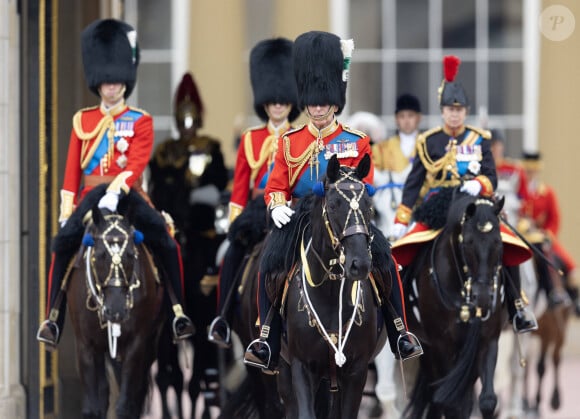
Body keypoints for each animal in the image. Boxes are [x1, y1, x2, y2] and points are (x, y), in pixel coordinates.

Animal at [67, 208, 164, 419]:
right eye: (101, 254)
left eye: (130, 254)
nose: (117, 311)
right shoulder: (85, 345)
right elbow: (92, 407)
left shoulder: (137, 343)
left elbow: (125, 405)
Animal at [404, 196, 508, 419]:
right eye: (468, 242)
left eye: (498, 242)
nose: (483, 297)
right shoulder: (442, 344)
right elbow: (450, 403)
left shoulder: (487, 340)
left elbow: (487, 400)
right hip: (429, 350)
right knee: (437, 396)